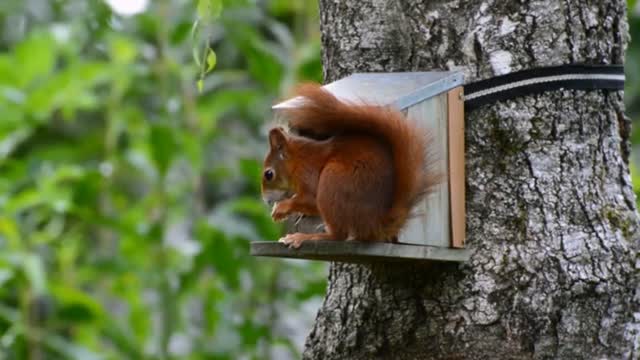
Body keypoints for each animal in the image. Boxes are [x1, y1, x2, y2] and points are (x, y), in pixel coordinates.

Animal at [260, 83, 440, 249]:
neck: (298, 160)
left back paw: (305, 237)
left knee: (338, 235)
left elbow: (310, 199)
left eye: (269, 174)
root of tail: (376, 225)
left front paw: (282, 207)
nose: (266, 201)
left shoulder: (308, 171)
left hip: (333, 181)